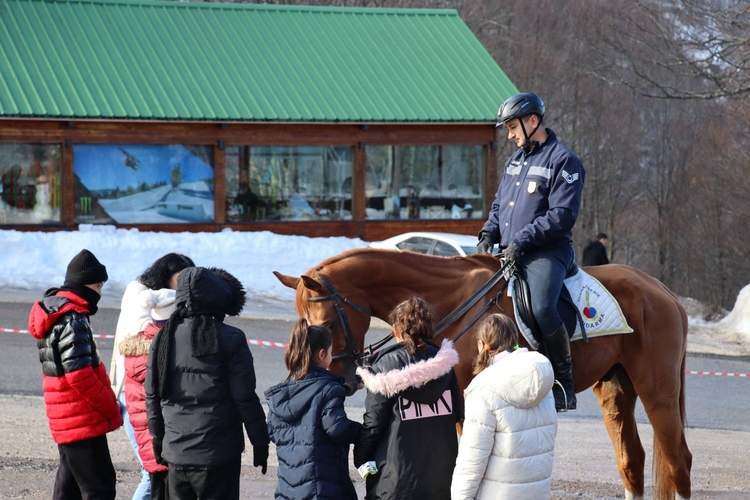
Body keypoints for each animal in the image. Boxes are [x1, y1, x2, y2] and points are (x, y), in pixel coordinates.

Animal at [274, 248, 692, 498]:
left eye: (328, 322)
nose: (342, 380)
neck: (453, 301)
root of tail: (663, 291)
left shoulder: (468, 408)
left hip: (658, 394)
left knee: (679, 462)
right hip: (617, 391)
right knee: (631, 461)